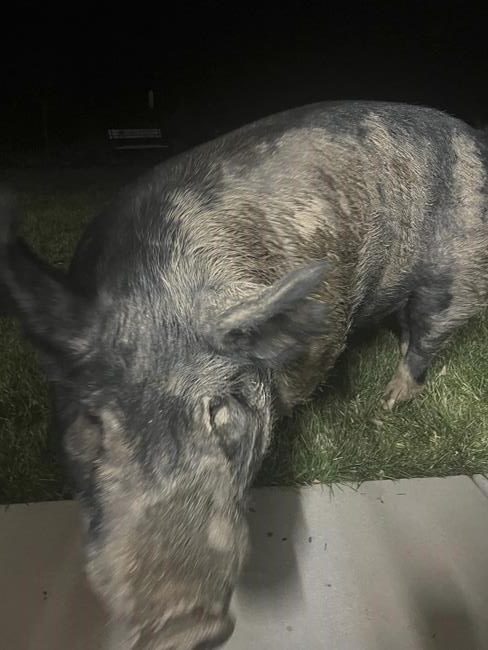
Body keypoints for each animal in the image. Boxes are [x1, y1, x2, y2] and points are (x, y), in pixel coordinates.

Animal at [1, 100, 488, 648]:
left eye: (217, 411)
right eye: (93, 423)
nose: (183, 623)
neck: (154, 294)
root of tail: (475, 138)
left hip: (458, 271)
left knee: (428, 333)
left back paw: (388, 401)